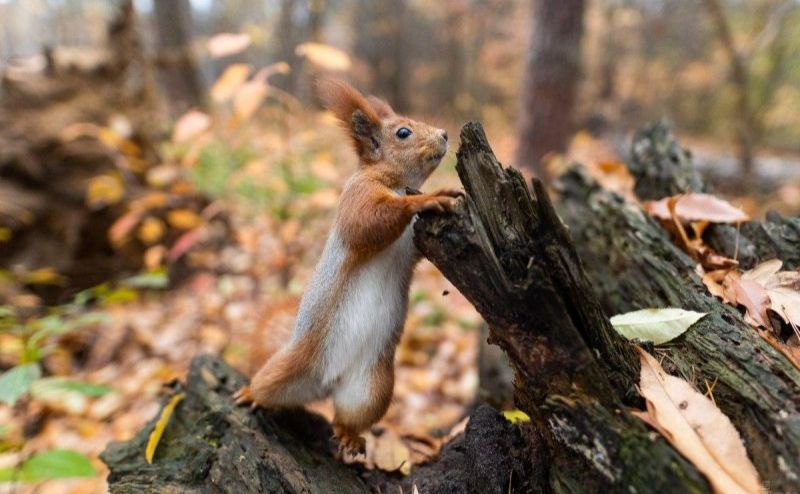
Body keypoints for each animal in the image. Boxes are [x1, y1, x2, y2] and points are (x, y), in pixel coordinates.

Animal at [234, 79, 460, 454]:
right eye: (403, 132)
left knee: (349, 415)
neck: (395, 182)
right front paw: (431, 197)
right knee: (268, 384)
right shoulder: (356, 197)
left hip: (371, 387)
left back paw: (348, 436)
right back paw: (251, 392)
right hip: (286, 369)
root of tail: (325, 383)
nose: (444, 134)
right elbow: (367, 222)